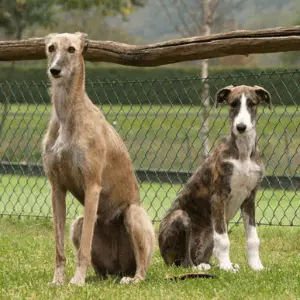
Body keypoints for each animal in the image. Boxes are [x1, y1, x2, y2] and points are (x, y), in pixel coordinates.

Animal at [158, 84, 270, 272]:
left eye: (252, 104)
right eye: (233, 104)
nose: (241, 127)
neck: (243, 153)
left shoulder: (249, 198)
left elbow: (253, 238)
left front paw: (256, 266)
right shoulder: (219, 197)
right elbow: (223, 240)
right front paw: (226, 267)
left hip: (209, 232)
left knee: (201, 256)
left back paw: (211, 265)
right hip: (181, 218)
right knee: (183, 261)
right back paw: (202, 268)